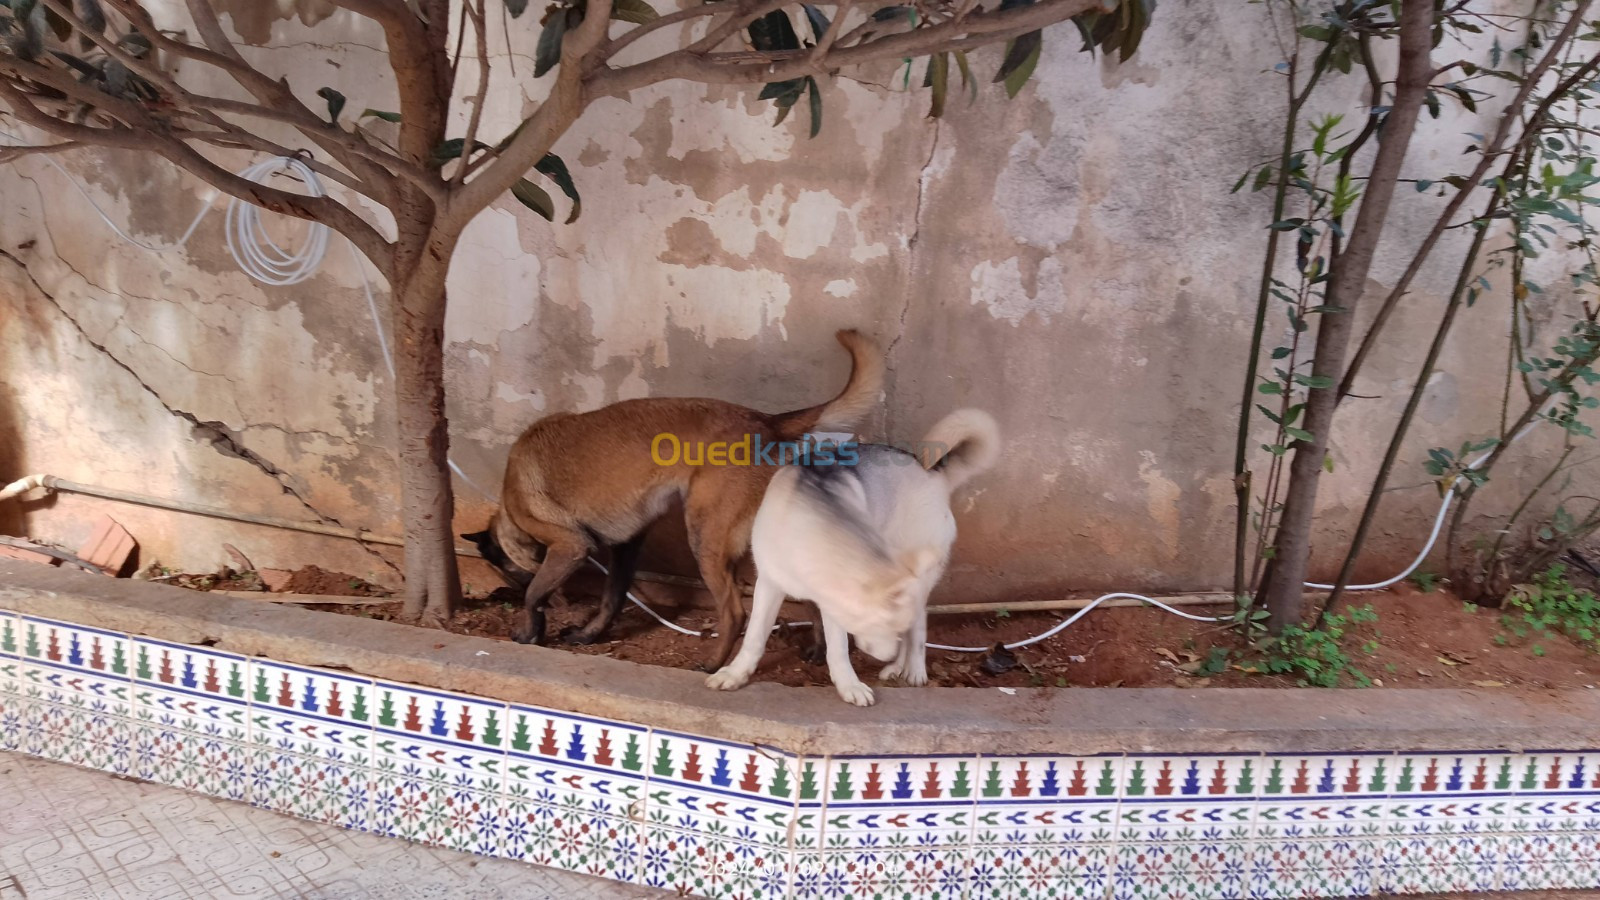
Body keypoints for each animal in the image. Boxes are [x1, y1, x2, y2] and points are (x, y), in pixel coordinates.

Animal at [464, 329, 883, 666]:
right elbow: (611, 598)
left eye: (505, 568)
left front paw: (529, 631)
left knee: (734, 611)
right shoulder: (626, 548)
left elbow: (535, 593)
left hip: (705, 537)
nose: (502, 589)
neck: (509, 498)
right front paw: (587, 635)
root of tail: (765, 421)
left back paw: (713, 664)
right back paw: (817, 650)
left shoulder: (570, 546)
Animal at [707, 409, 992, 704]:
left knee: (919, 625)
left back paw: (913, 668)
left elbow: (839, 649)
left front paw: (848, 684)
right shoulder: (768, 583)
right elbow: (754, 636)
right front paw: (735, 673)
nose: (887, 653)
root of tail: (934, 472)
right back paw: (897, 667)